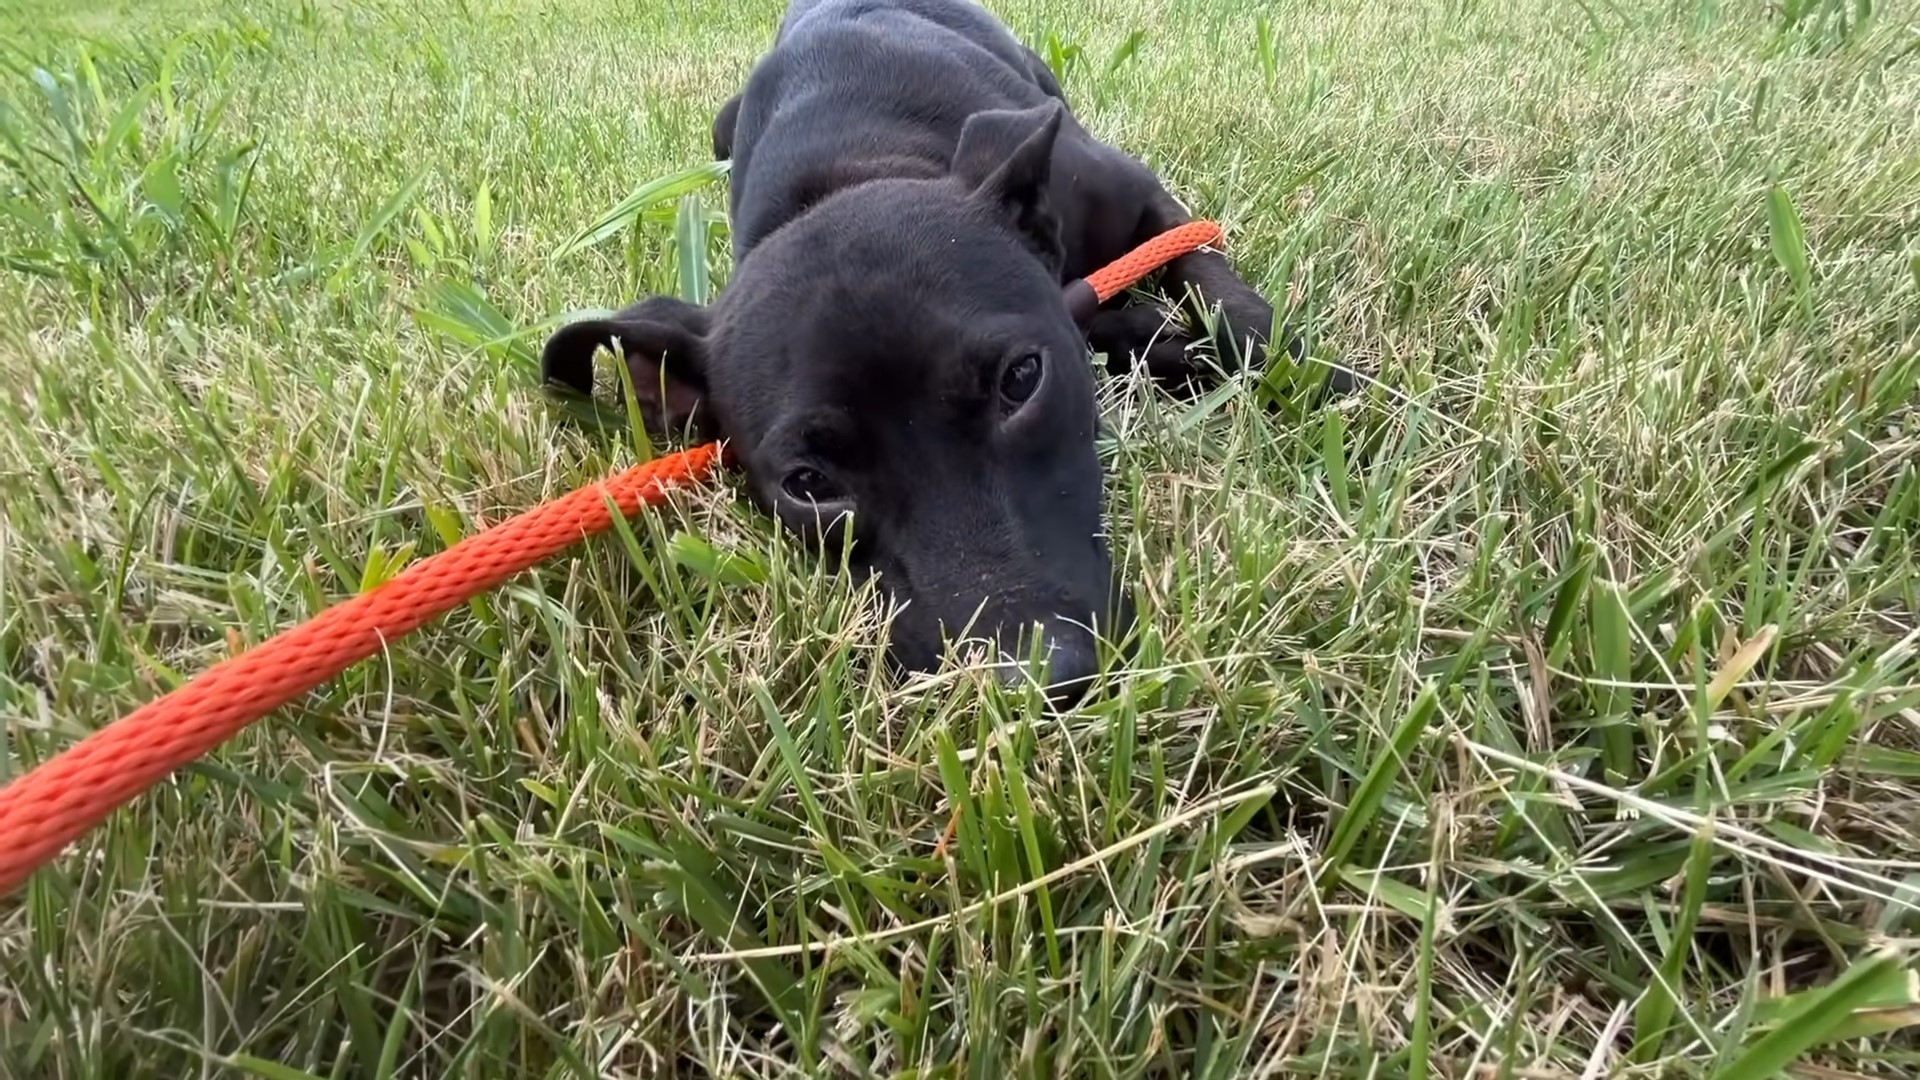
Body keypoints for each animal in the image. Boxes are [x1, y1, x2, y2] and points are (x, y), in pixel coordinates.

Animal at [541, 0, 1305, 703]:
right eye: (807, 484)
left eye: (1022, 378)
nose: (1038, 681)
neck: (855, 165)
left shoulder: (1150, 205)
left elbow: (1236, 312)